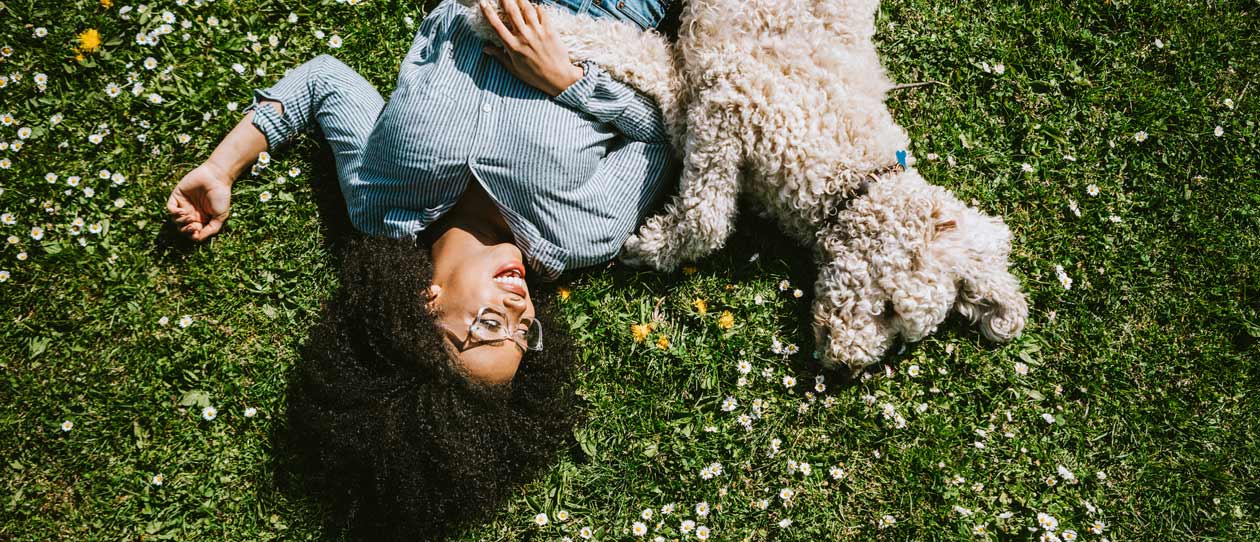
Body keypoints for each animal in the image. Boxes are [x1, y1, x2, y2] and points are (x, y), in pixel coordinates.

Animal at [463, 0, 1023, 373]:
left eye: (902, 334)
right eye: (887, 307)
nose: (844, 366)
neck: (849, 170)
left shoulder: (698, 92)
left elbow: (648, 66)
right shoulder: (734, 98)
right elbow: (707, 218)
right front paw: (656, 244)